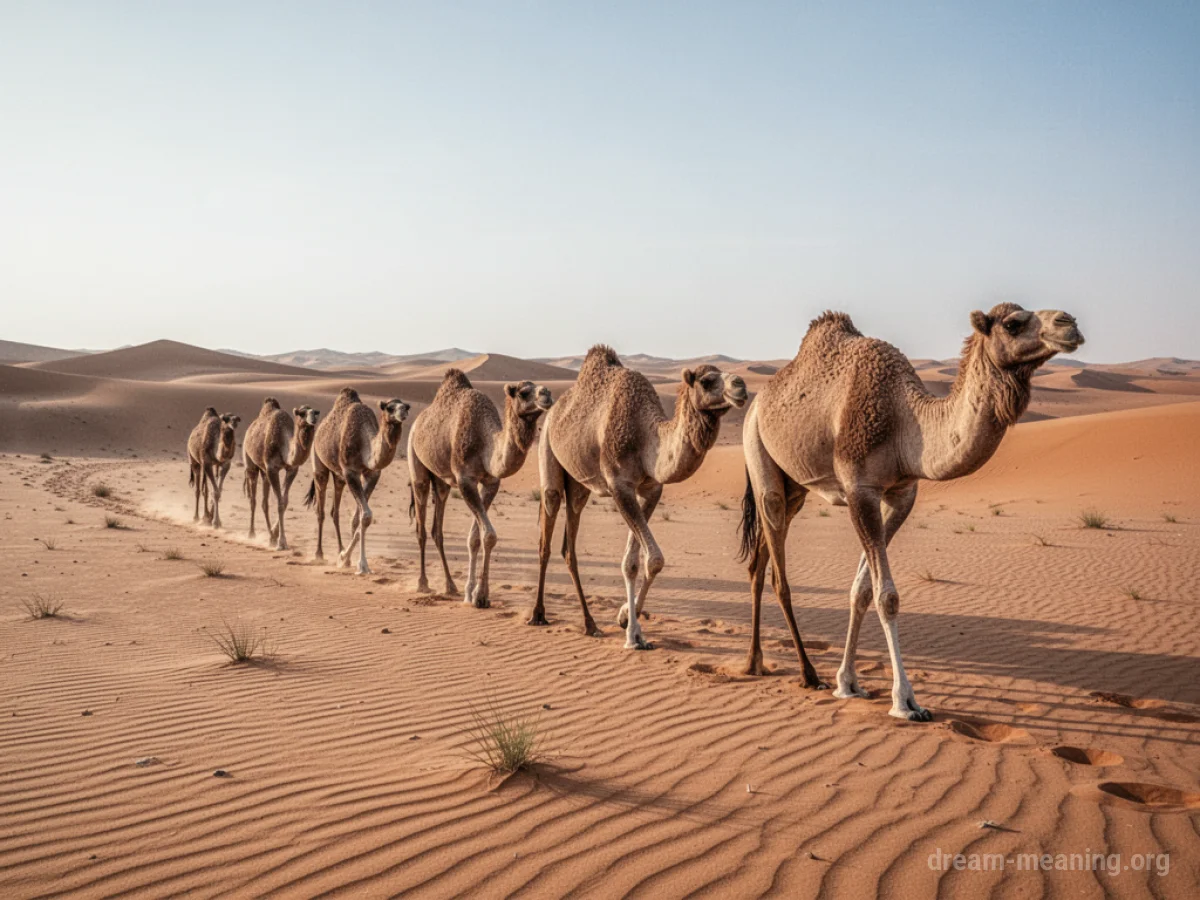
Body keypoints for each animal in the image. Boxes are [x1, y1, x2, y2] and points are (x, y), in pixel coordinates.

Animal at [242, 398, 321, 550]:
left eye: (315, 412)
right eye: (301, 413)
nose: (313, 419)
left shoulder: (291, 469)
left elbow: (284, 502)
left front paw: (275, 534)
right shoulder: (272, 469)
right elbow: (279, 502)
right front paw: (282, 542)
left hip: (264, 472)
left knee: (264, 502)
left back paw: (271, 537)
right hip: (250, 463)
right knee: (253, 499)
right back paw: (251, 533)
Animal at [304, 387, 410, 575]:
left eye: (405, 405)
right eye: (390, 407)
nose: (403, 411)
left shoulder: (372, 474)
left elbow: (359, 517)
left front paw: (346, 558)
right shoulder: (350, 472)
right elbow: (365, 515)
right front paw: (360, 564)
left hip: (339, 477)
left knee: (334, 511)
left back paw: (339, 550)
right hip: (318, 463)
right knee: (320, 510)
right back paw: (319, 554)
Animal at [407, 370, 553, 606]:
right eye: (523, 392)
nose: (546, 394)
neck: (486, 444)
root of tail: (417, 421)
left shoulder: (490, 482)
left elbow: (478, 537)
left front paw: (473, 593)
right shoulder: (465, 480)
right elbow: (488, 535)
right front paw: (479, 595)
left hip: (442, 481)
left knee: (437, 528)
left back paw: (450, 585)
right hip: (416, 461)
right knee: (421, 526)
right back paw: (423, 584)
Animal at [529, 346, 748, 648]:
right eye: (706, 381)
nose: (741, 386)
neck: (646, 438)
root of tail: (553, 410)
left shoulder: (651, 489)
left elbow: (643, 561)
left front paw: (625, 619)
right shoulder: (619, 485)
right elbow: (642, 561)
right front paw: (633, 635)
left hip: (578, 484)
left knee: (569, 540)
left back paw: (590, 624)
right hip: (548, 450)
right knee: (546, 534)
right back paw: (538, 614)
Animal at [737, 303, 1084, 720]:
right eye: (1013, 323)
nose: (1069, 324)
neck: (907, 422)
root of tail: (756, 401)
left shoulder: (901, 495)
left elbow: (862, 589)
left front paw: (848, 683)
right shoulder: (860, 490)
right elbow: (886, 596)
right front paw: (905, 701)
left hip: (795, 489)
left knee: (759, 563)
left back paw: (754, 662)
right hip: (758, 454)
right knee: (778, 574)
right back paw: (807, 673)